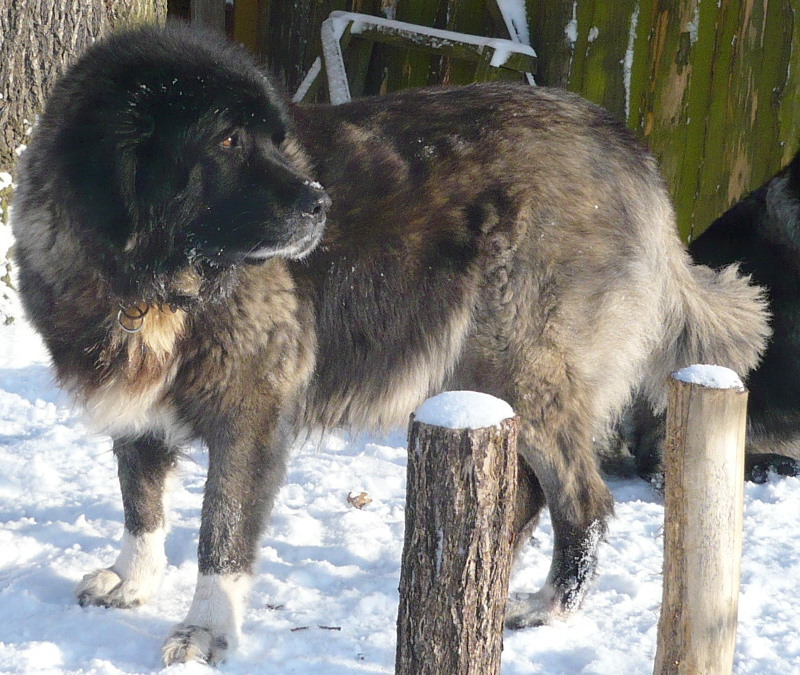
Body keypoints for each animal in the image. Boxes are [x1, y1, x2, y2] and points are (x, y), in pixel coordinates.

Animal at [11, 23, 769, 666]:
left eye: (270, 139)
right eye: (226, 142)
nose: (320, 202)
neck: (149, 280)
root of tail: (624, 142)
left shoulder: (249, 414)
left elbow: (219, 532)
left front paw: (206, 630)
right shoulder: (135, 401)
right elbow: (139, 501)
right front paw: (134, 579)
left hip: (524, 368)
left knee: (584, 500)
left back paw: (548, 605)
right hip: (484, 373)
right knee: (528, 495)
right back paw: (483, 574)